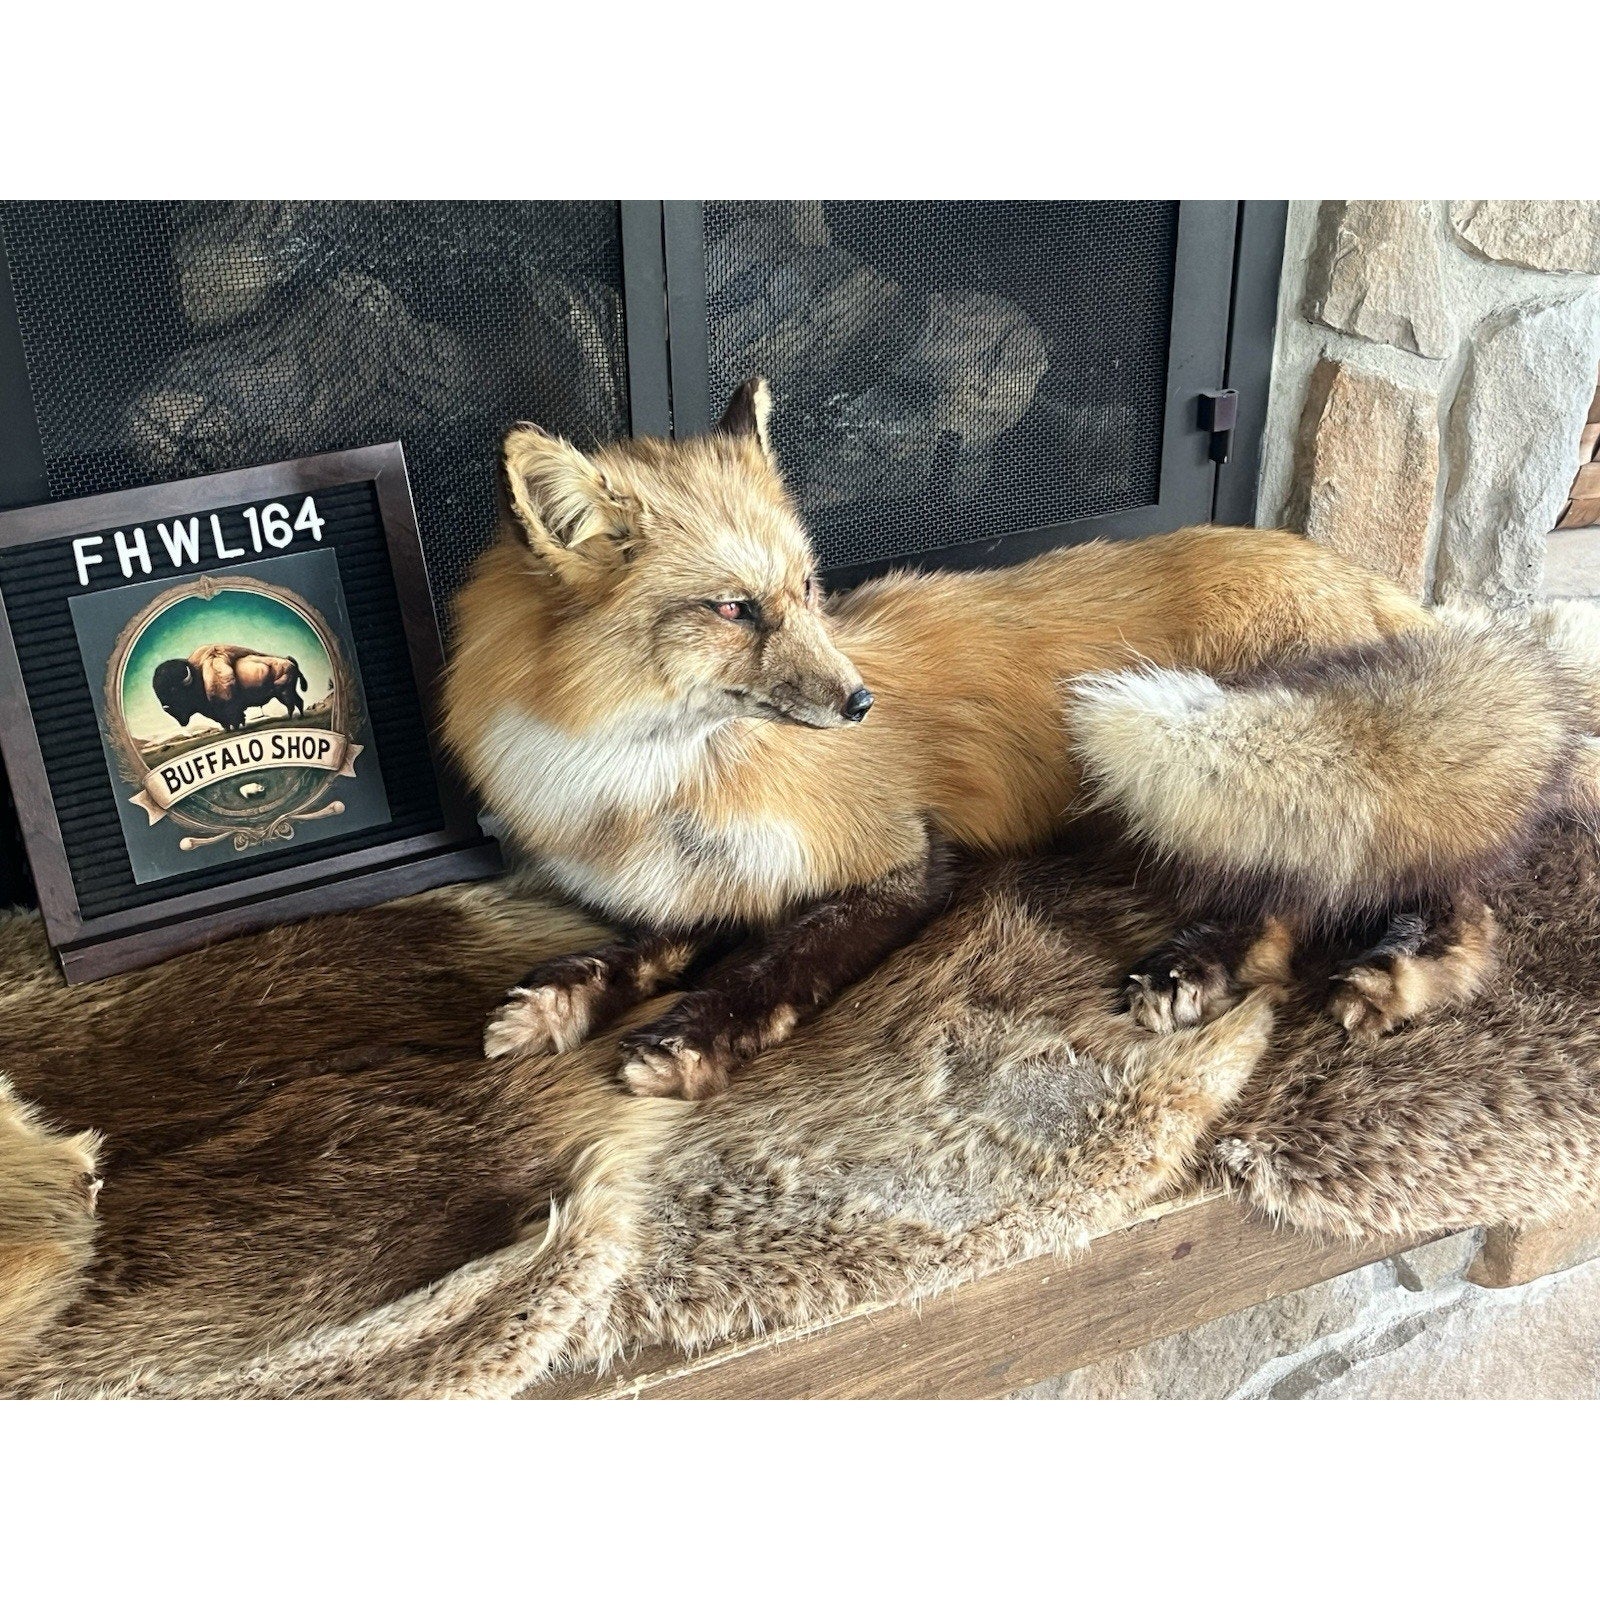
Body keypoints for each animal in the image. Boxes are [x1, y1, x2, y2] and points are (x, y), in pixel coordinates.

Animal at [442, 376, 1591, 1100]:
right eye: (734, 610)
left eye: (806, 592)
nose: (860, 703)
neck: (648, 792)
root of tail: (1364, 580)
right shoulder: (718, 879)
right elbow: (648, 944)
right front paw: (565, 995)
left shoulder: (900, 859)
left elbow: (775, 963)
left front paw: (692, 1036)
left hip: (1245, 773)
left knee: (1346, 892)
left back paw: (1307, 969)